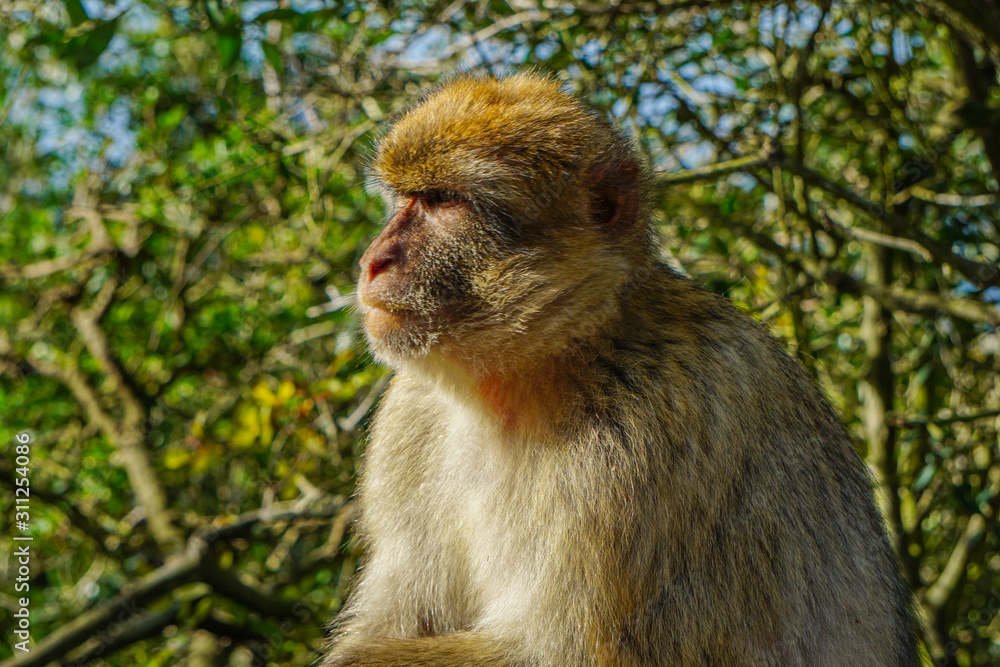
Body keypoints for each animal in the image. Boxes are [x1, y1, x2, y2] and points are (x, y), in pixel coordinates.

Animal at [322, 73, 920, 667]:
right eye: (404, 198)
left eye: (443, 201)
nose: (373, 261)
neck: (552, 360)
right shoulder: (411, 413)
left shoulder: (641, 441)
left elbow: (561, 653)